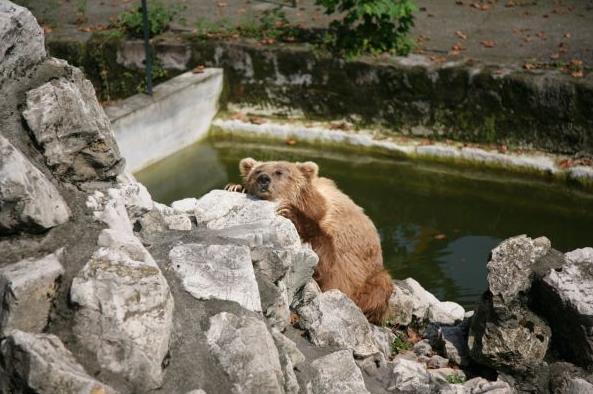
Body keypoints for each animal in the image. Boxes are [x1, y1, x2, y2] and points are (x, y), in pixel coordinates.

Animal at [225, 157, 394, 324]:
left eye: (279, 172)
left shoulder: (339, 240)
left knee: (379, 288)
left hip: (370, 277)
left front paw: (291, 212)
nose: (263, 179)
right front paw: (236, 187)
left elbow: (327, 265)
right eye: (257, 171)